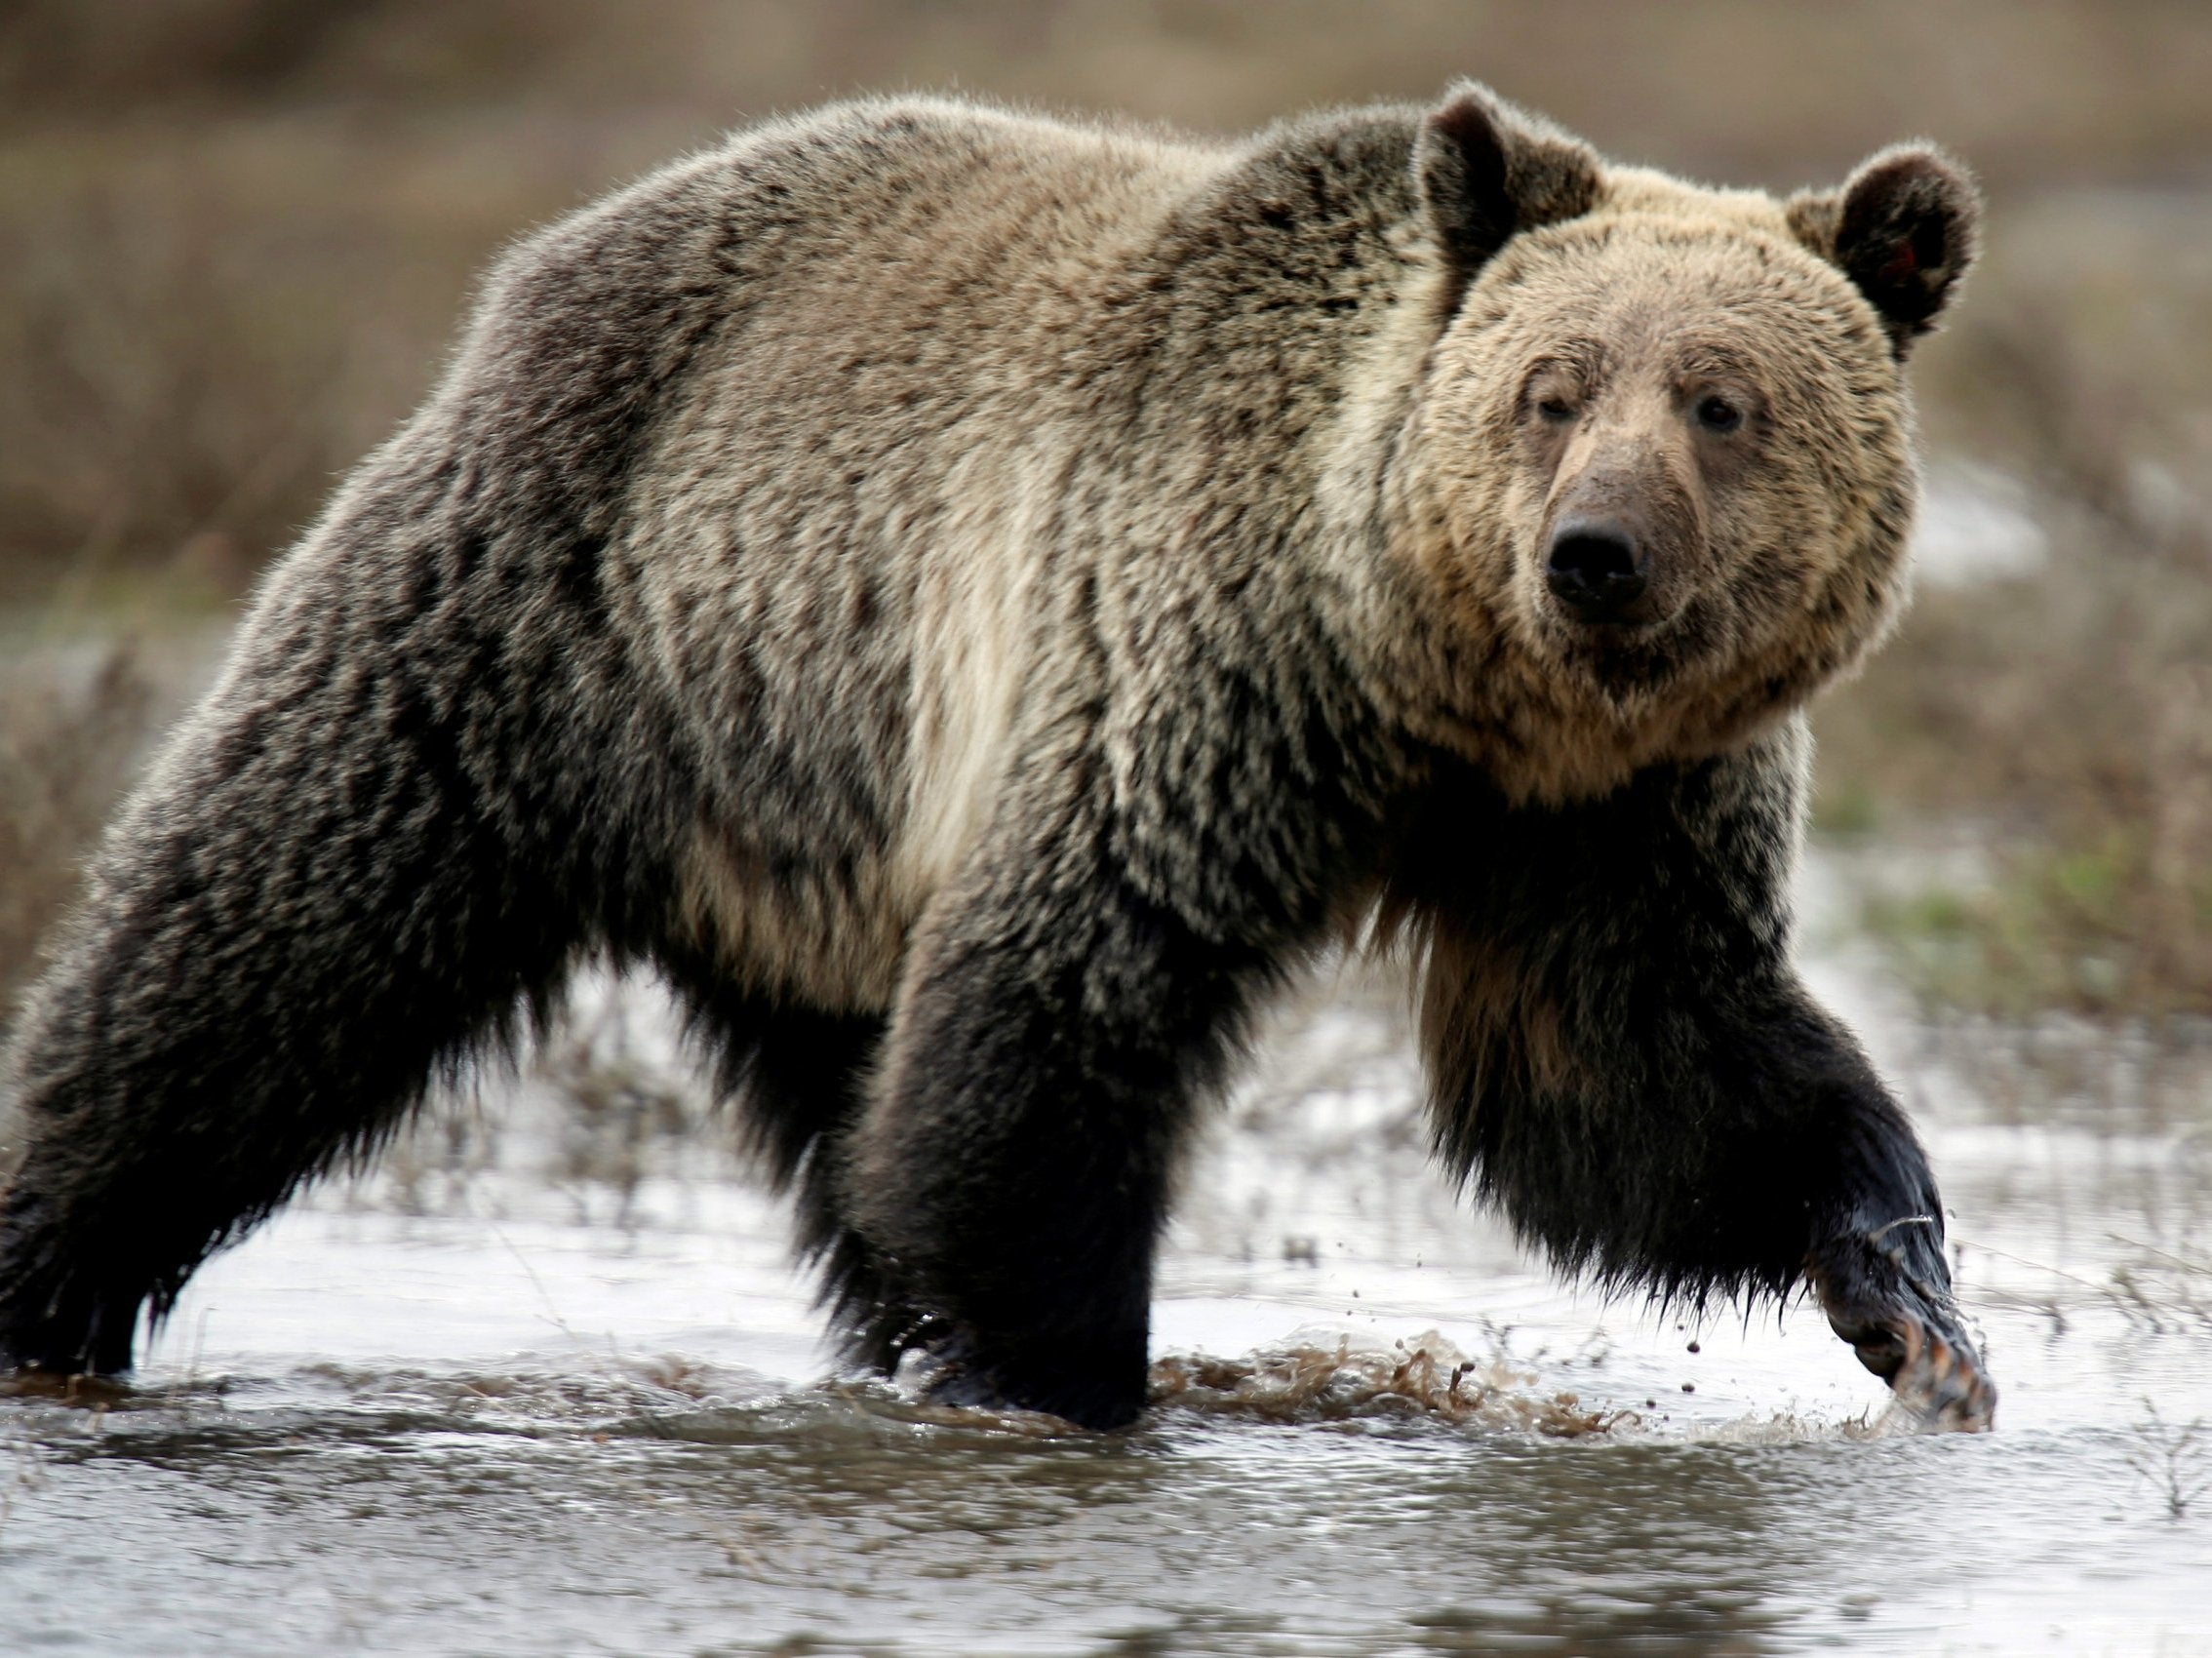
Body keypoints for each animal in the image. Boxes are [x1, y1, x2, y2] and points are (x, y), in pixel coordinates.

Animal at [0, 84, 1999, 1432]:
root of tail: (558, 249)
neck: (1432, 685)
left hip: (806, 821)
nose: (1593, 553)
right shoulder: (1187, 669)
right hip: (547, 620)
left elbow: (1634, 1073)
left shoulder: (1604, 814)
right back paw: (47, 1276)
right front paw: (1060, 1379)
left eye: (1723, 404)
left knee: (843, 1113)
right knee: (259, 946)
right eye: (1554, 387)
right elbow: (1060, 1009)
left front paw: (1911, 1299)